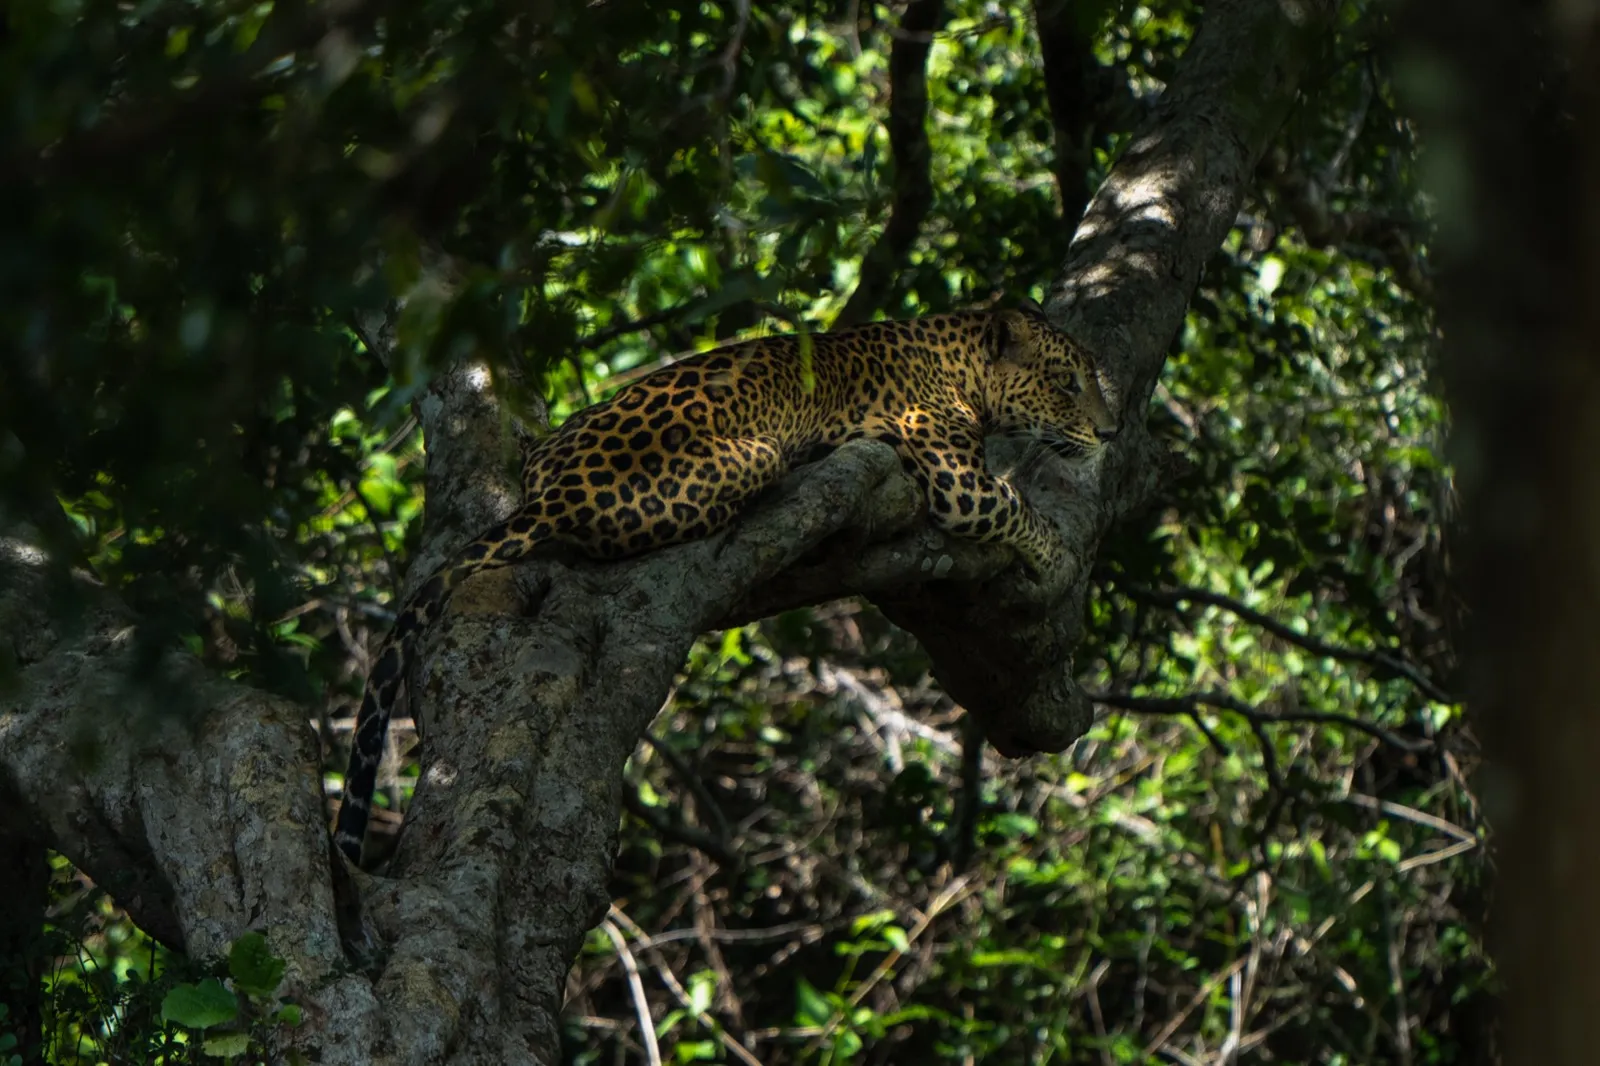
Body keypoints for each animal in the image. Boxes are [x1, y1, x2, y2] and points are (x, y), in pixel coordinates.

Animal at [334, 301, 1119, 865]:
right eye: (1067, 382)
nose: (1111, 434)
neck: (958, 358)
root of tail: (551, 493)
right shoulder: (955, 477)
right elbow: (1017, 506)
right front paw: (1057, 561)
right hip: (754, 453)